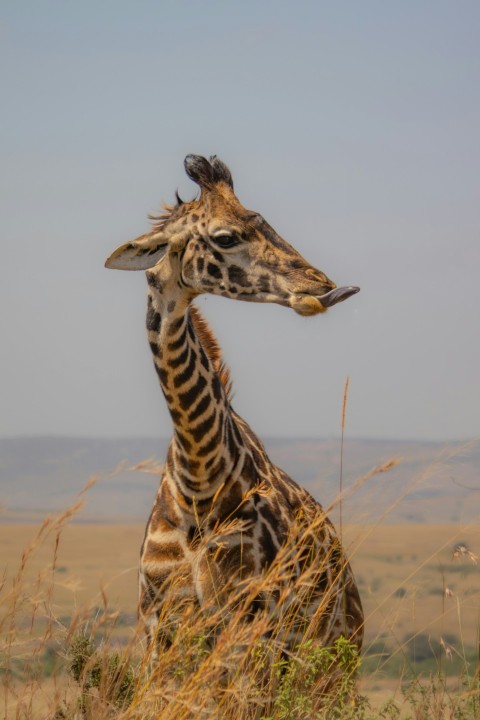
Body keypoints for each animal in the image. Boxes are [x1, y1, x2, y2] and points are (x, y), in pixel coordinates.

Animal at [105, 155, 362, 660]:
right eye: (226, 237)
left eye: (265, 220)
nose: (323, 287)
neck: (200, 483)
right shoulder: (158, 627)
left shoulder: (252, 625)